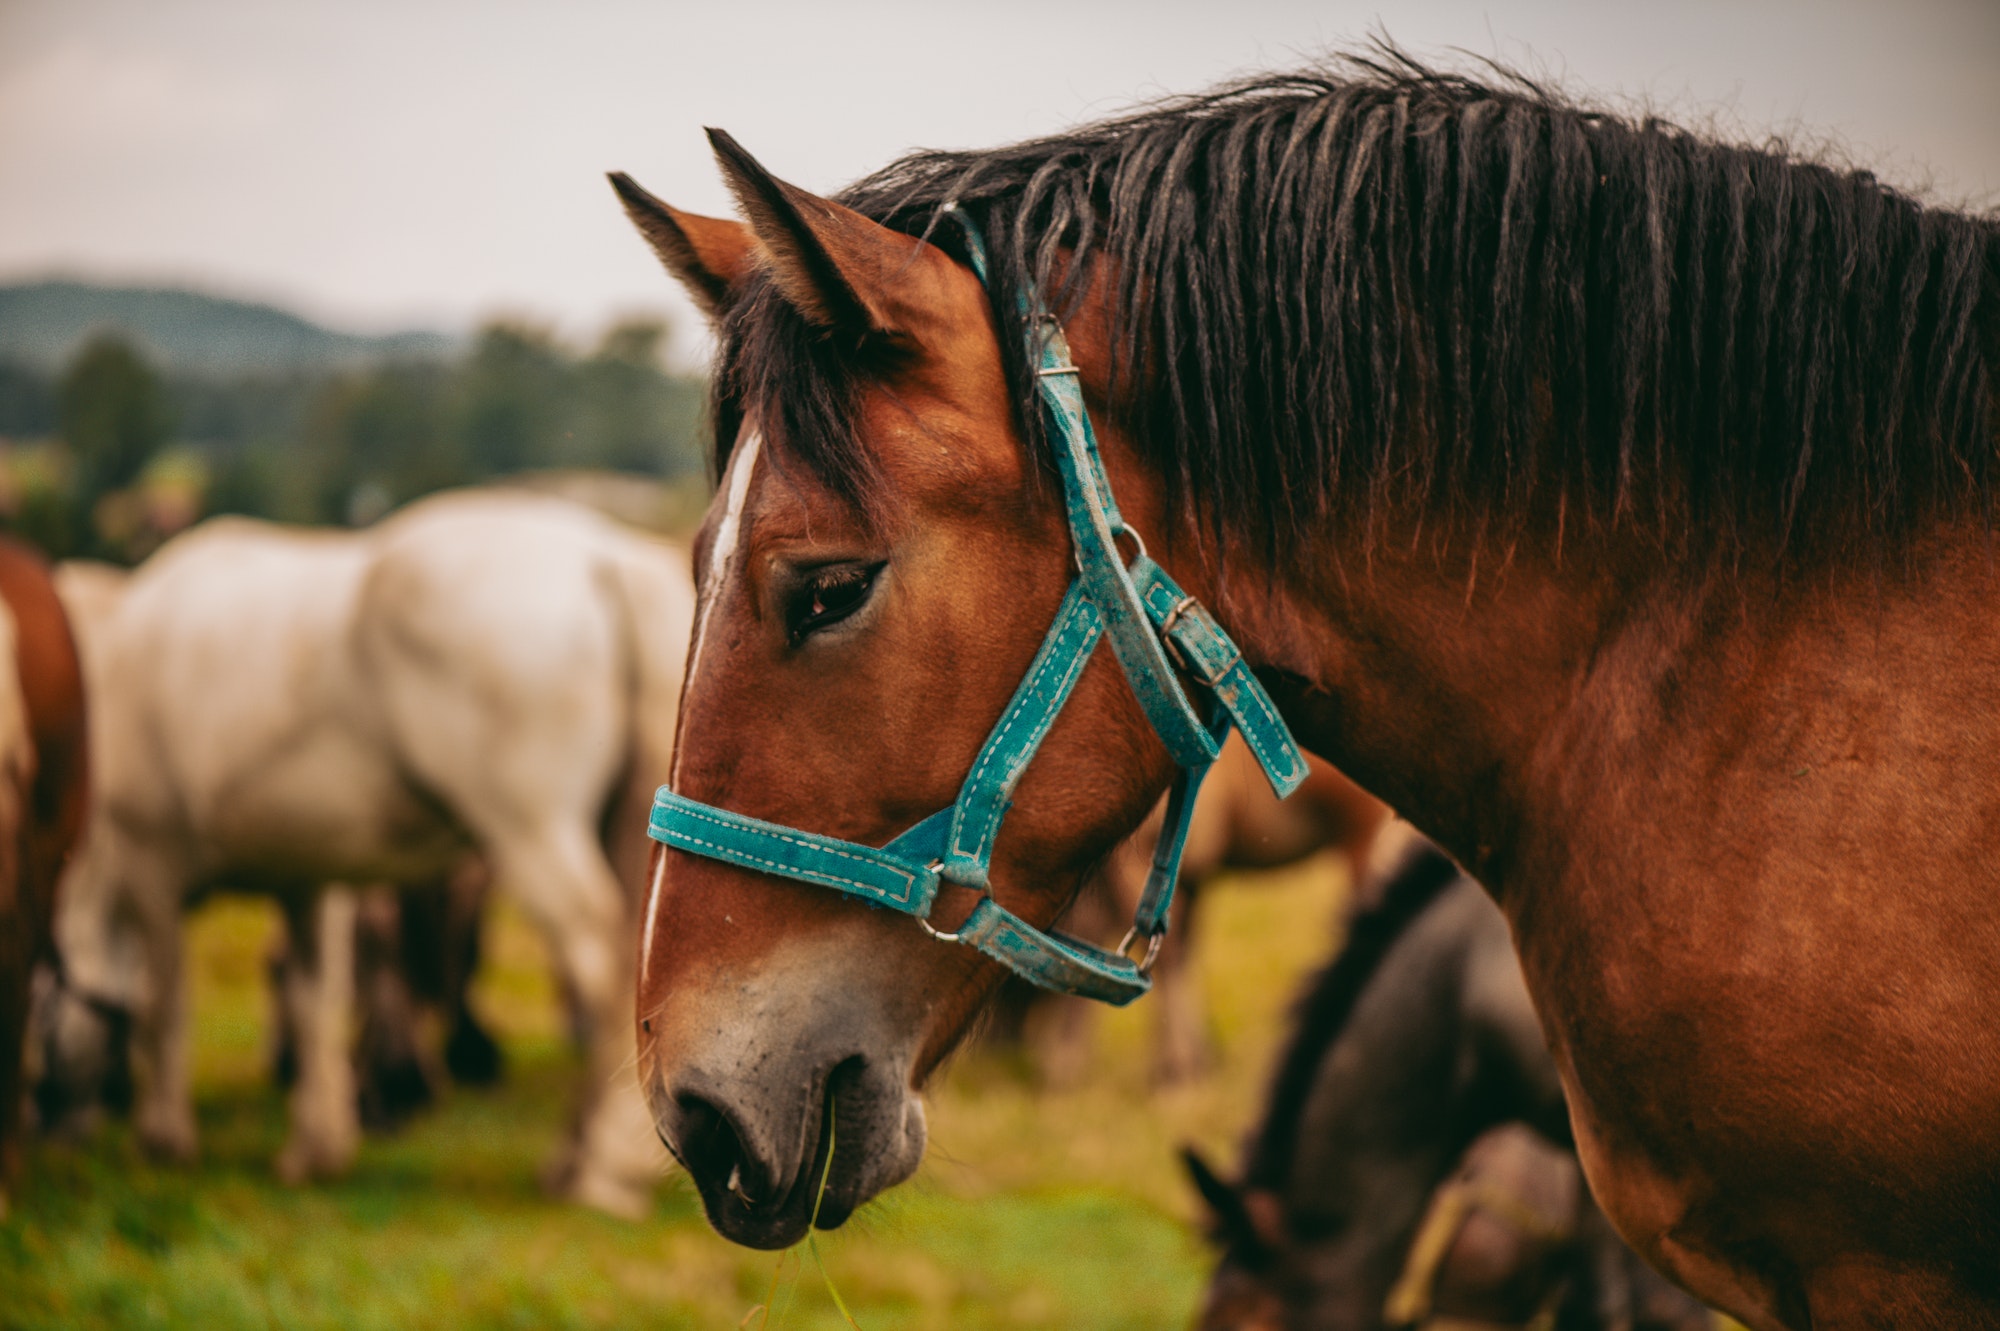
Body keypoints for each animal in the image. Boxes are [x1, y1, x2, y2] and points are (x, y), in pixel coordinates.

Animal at [41, 490, 692, 1215]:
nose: (50, 1121)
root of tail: (607, 560)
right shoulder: (305, 879)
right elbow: (313, 1001)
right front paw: (316, 1146)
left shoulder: (149, 867)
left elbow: (164, 1008)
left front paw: (162, 1138)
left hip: (531, 832)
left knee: (598, 966)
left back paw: (601, 1168)